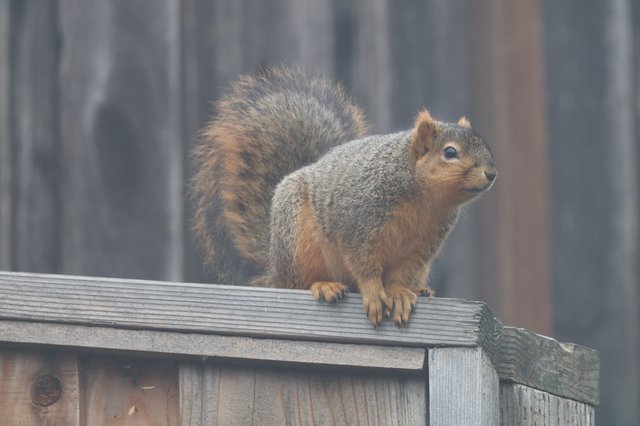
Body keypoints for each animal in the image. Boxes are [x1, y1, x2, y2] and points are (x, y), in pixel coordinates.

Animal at [191, 67, 496, 326]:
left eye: (484, 145)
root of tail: (274, 268)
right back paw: (323, 285)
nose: (492, 173)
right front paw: (374, 293)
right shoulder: (358, 220)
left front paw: (398, 292)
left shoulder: (424, 245)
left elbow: (402, 272)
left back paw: (420, 289)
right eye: (450, 152)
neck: (423, 198)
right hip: (298, 243)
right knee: (298, 283)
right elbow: (363, 263)